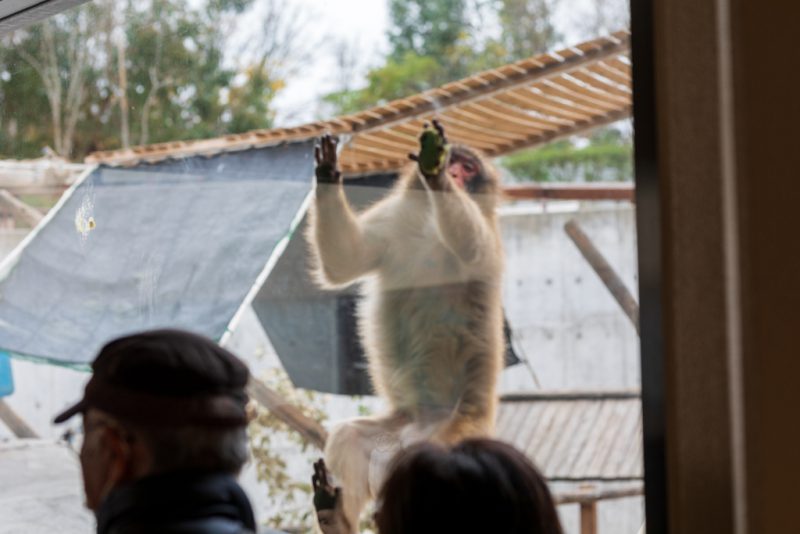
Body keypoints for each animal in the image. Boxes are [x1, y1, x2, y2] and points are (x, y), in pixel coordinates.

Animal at [308, 120, 504, 532]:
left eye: (468, 168)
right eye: (458, 162)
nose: (455, 175)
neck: (430, 219)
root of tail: (419, 429)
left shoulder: (490, 234)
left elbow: (474, 249)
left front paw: (434, 170)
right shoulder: (392, 220)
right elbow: (344, 261)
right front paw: (328, 170)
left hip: (455, 436)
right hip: (392, 432)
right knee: (350, 436)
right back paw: (335, 515)